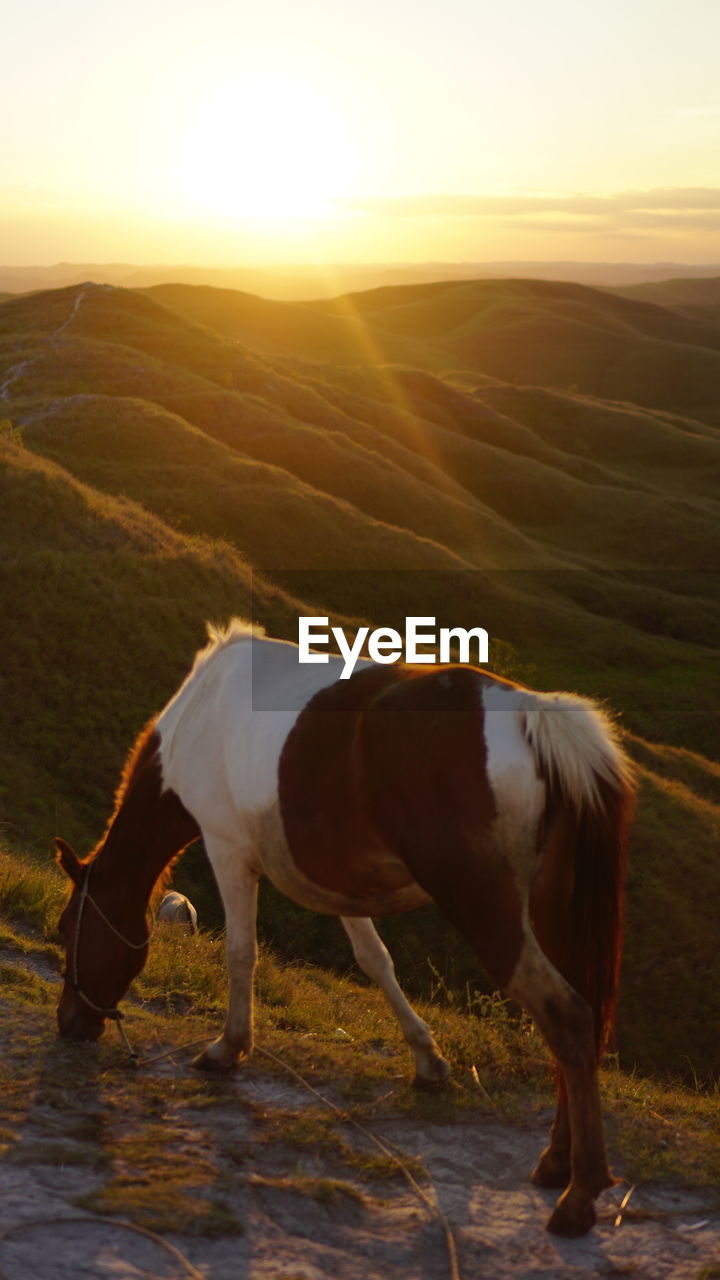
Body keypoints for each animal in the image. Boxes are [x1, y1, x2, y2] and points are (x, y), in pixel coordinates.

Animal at [56, 619, 630, 1239]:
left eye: (66, 932)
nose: (69, 1023)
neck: (198, 718)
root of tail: (532, 713)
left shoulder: (228, 851)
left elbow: (241, 953)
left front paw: (228, 1047)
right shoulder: (339, 884)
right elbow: (375, 960)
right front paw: (427, 1062)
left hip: (487, 909)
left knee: (567, 1018)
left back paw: (579, 1194)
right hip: (553, 914)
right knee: (582, 1020)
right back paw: (556, 1161)